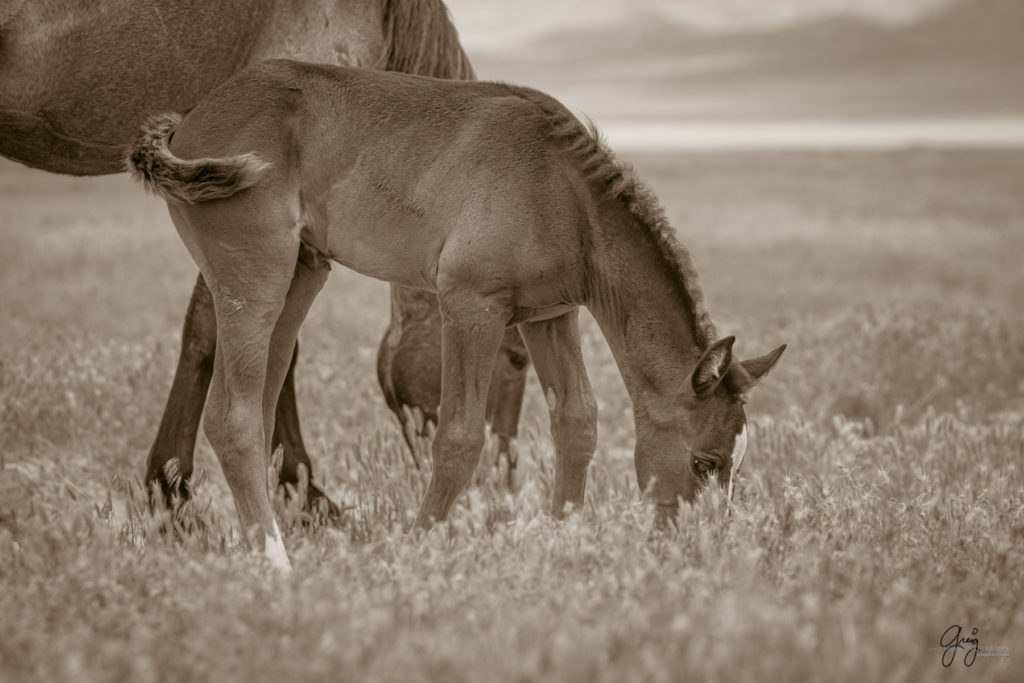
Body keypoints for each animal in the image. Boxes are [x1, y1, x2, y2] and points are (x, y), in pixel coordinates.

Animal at [128, 61, 782, 569]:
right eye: (704, 461)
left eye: (736, 464)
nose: (698, 550)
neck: (564, 193)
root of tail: (188, 121)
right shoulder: (471, 306)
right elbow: (462, 435)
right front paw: (419, 547)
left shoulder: (549, 315)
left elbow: (578, 421)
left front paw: (563, 541)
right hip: (253, 280)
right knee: (233, 418)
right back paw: (273, 560)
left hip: (302, 276)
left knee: (259, 411)